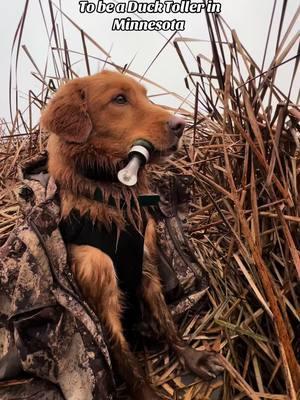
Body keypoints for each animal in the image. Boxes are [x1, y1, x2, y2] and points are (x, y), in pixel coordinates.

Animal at [40, 71, 223, 400]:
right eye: (119, 99)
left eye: (145, 95)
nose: (180, 124)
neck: (112, 201)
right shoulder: (101, 294)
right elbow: (125, 360)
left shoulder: (146, 266)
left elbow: (166, 319)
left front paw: (191, 356)